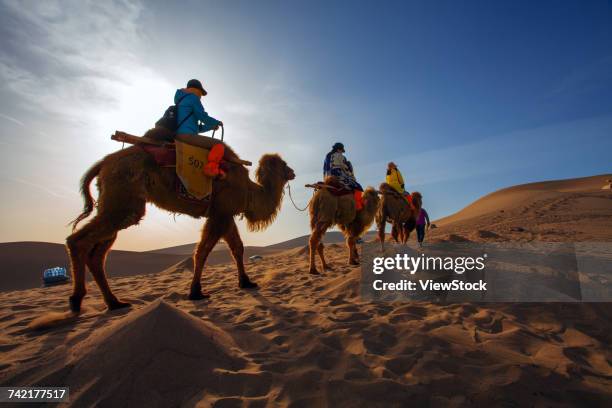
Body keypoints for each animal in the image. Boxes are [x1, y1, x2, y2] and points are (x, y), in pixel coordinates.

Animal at [66, 128, 294, 312]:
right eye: (284, 164)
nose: (292, 172)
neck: (249, 191)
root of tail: (104, 162)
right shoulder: (220, 212)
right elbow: (202, 251)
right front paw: (196, 292)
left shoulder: (224, 214)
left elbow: (237, 248)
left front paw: (246, 283)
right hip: (123, 197)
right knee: (78, 241)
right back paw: (76, 300)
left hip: (117, 202)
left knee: (97, 254)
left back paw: (114, 303)